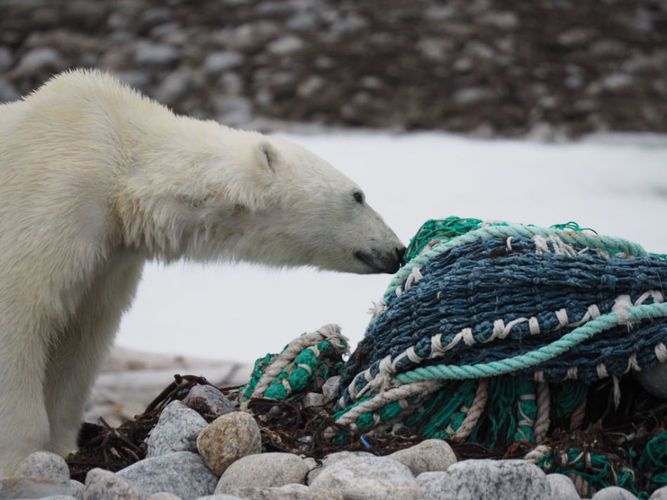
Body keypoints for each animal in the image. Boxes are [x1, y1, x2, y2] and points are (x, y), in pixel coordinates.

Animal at [0, 69, 404, 472]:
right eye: (358, 196)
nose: (397, 250)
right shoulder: (50, 206)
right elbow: (19, 318)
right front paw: (21, 457)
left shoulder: (109, 257)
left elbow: (82, 336)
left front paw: (62, 448)